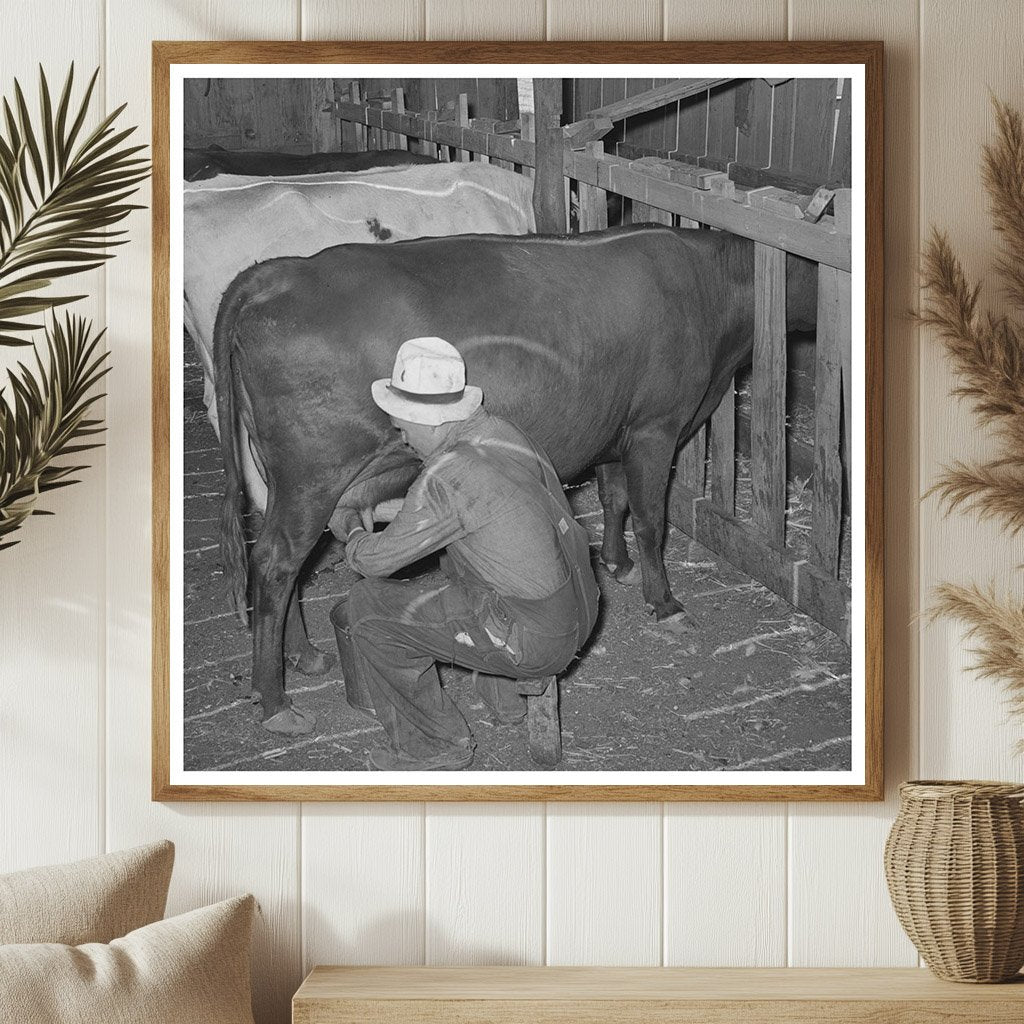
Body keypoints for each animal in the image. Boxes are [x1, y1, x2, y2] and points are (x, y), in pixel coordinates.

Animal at [214, 227, 815, 733]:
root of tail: (277, 272)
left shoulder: (614, 427)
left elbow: (614, 498)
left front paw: (615, 564)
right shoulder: (656, 426)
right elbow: (650, 519)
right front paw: (665, 604)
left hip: (284, 477)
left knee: (286, 561)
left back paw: (305, 656)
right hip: (313, 474)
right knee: (276, 562)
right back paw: (276, 701)